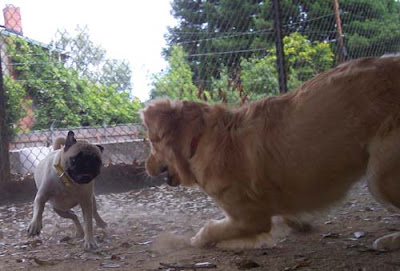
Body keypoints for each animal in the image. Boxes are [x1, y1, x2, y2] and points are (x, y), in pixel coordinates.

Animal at [141, 56, 400, 252]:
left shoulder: (249, 219)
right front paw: (298, 223)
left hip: (379, 177)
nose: (145, 166)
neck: (200, 139)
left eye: (152, 142)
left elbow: (210, 228)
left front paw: (195, 241)